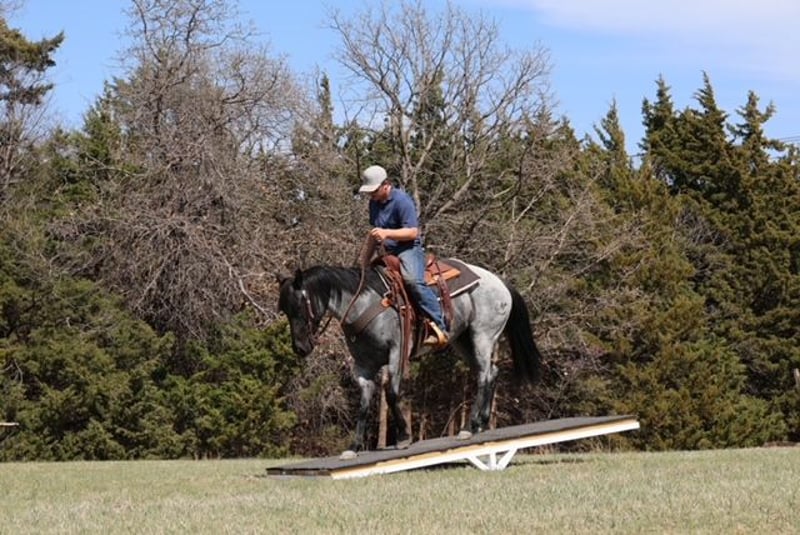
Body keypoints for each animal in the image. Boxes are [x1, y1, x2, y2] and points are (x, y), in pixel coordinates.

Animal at [277, 259, 541, 459]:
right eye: (284, 310)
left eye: (300, 305)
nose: (300, 347)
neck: (364, 304)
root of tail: (499, 282)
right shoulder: (363, 367)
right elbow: (364, 404)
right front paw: (353, 447)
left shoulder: (396, 352)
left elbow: (392, 394)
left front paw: (404, 437)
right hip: (463, 341)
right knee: (491, 372)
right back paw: (482, 422)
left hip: (483, 336)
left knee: (484, 376)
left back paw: (469, 426)